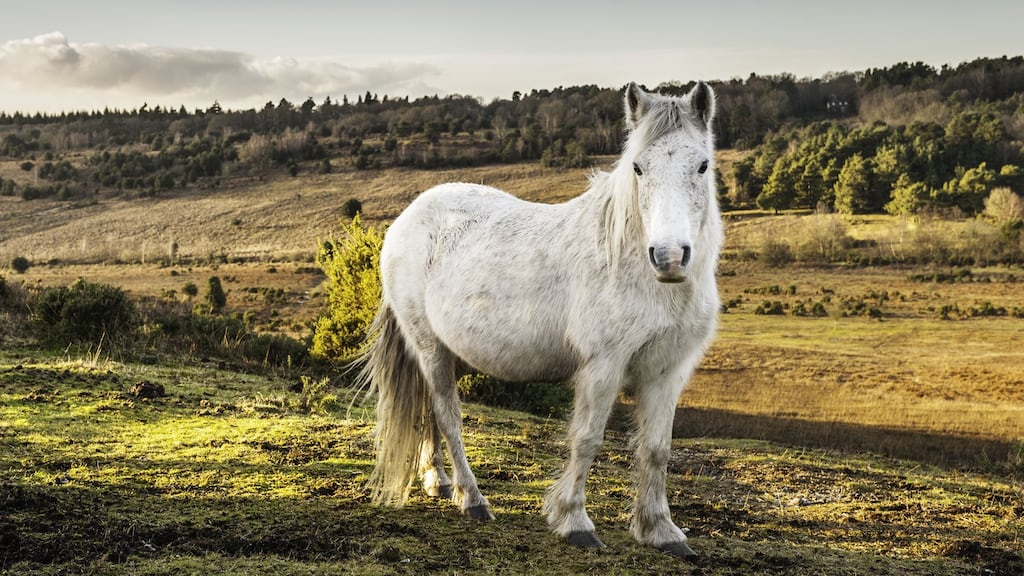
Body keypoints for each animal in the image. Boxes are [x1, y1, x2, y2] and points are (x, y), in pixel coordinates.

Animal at [360, 82, 722, 557]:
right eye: (639, 168)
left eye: (702, 165)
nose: (669, 257)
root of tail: (409, 215)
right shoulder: (603, 367)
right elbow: (586, 439)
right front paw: (574, 522)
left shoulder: (667, 372)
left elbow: (658, 449)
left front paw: (661, 530)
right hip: (428, 345)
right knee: (447, 414)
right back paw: (472, 499)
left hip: (447, 350)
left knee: (429, 410)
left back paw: (437, 480)